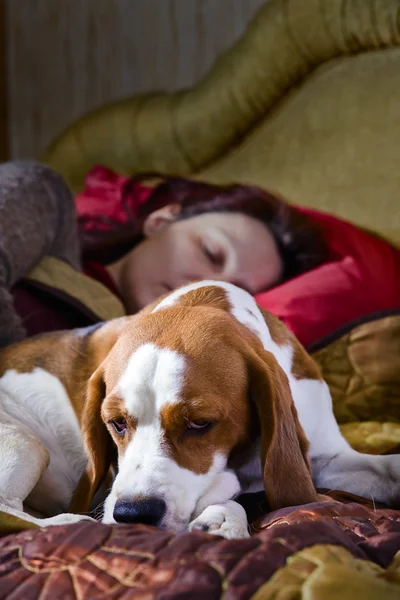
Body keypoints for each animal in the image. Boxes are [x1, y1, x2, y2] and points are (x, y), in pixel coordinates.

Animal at [0, 282, 398, 540]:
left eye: (200, 423)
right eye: (116, 423)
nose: (132, 515)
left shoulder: (324, 457)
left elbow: (386, 468)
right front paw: (225, 516)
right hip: (25, 442)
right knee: (9, 512)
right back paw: (65, 523)